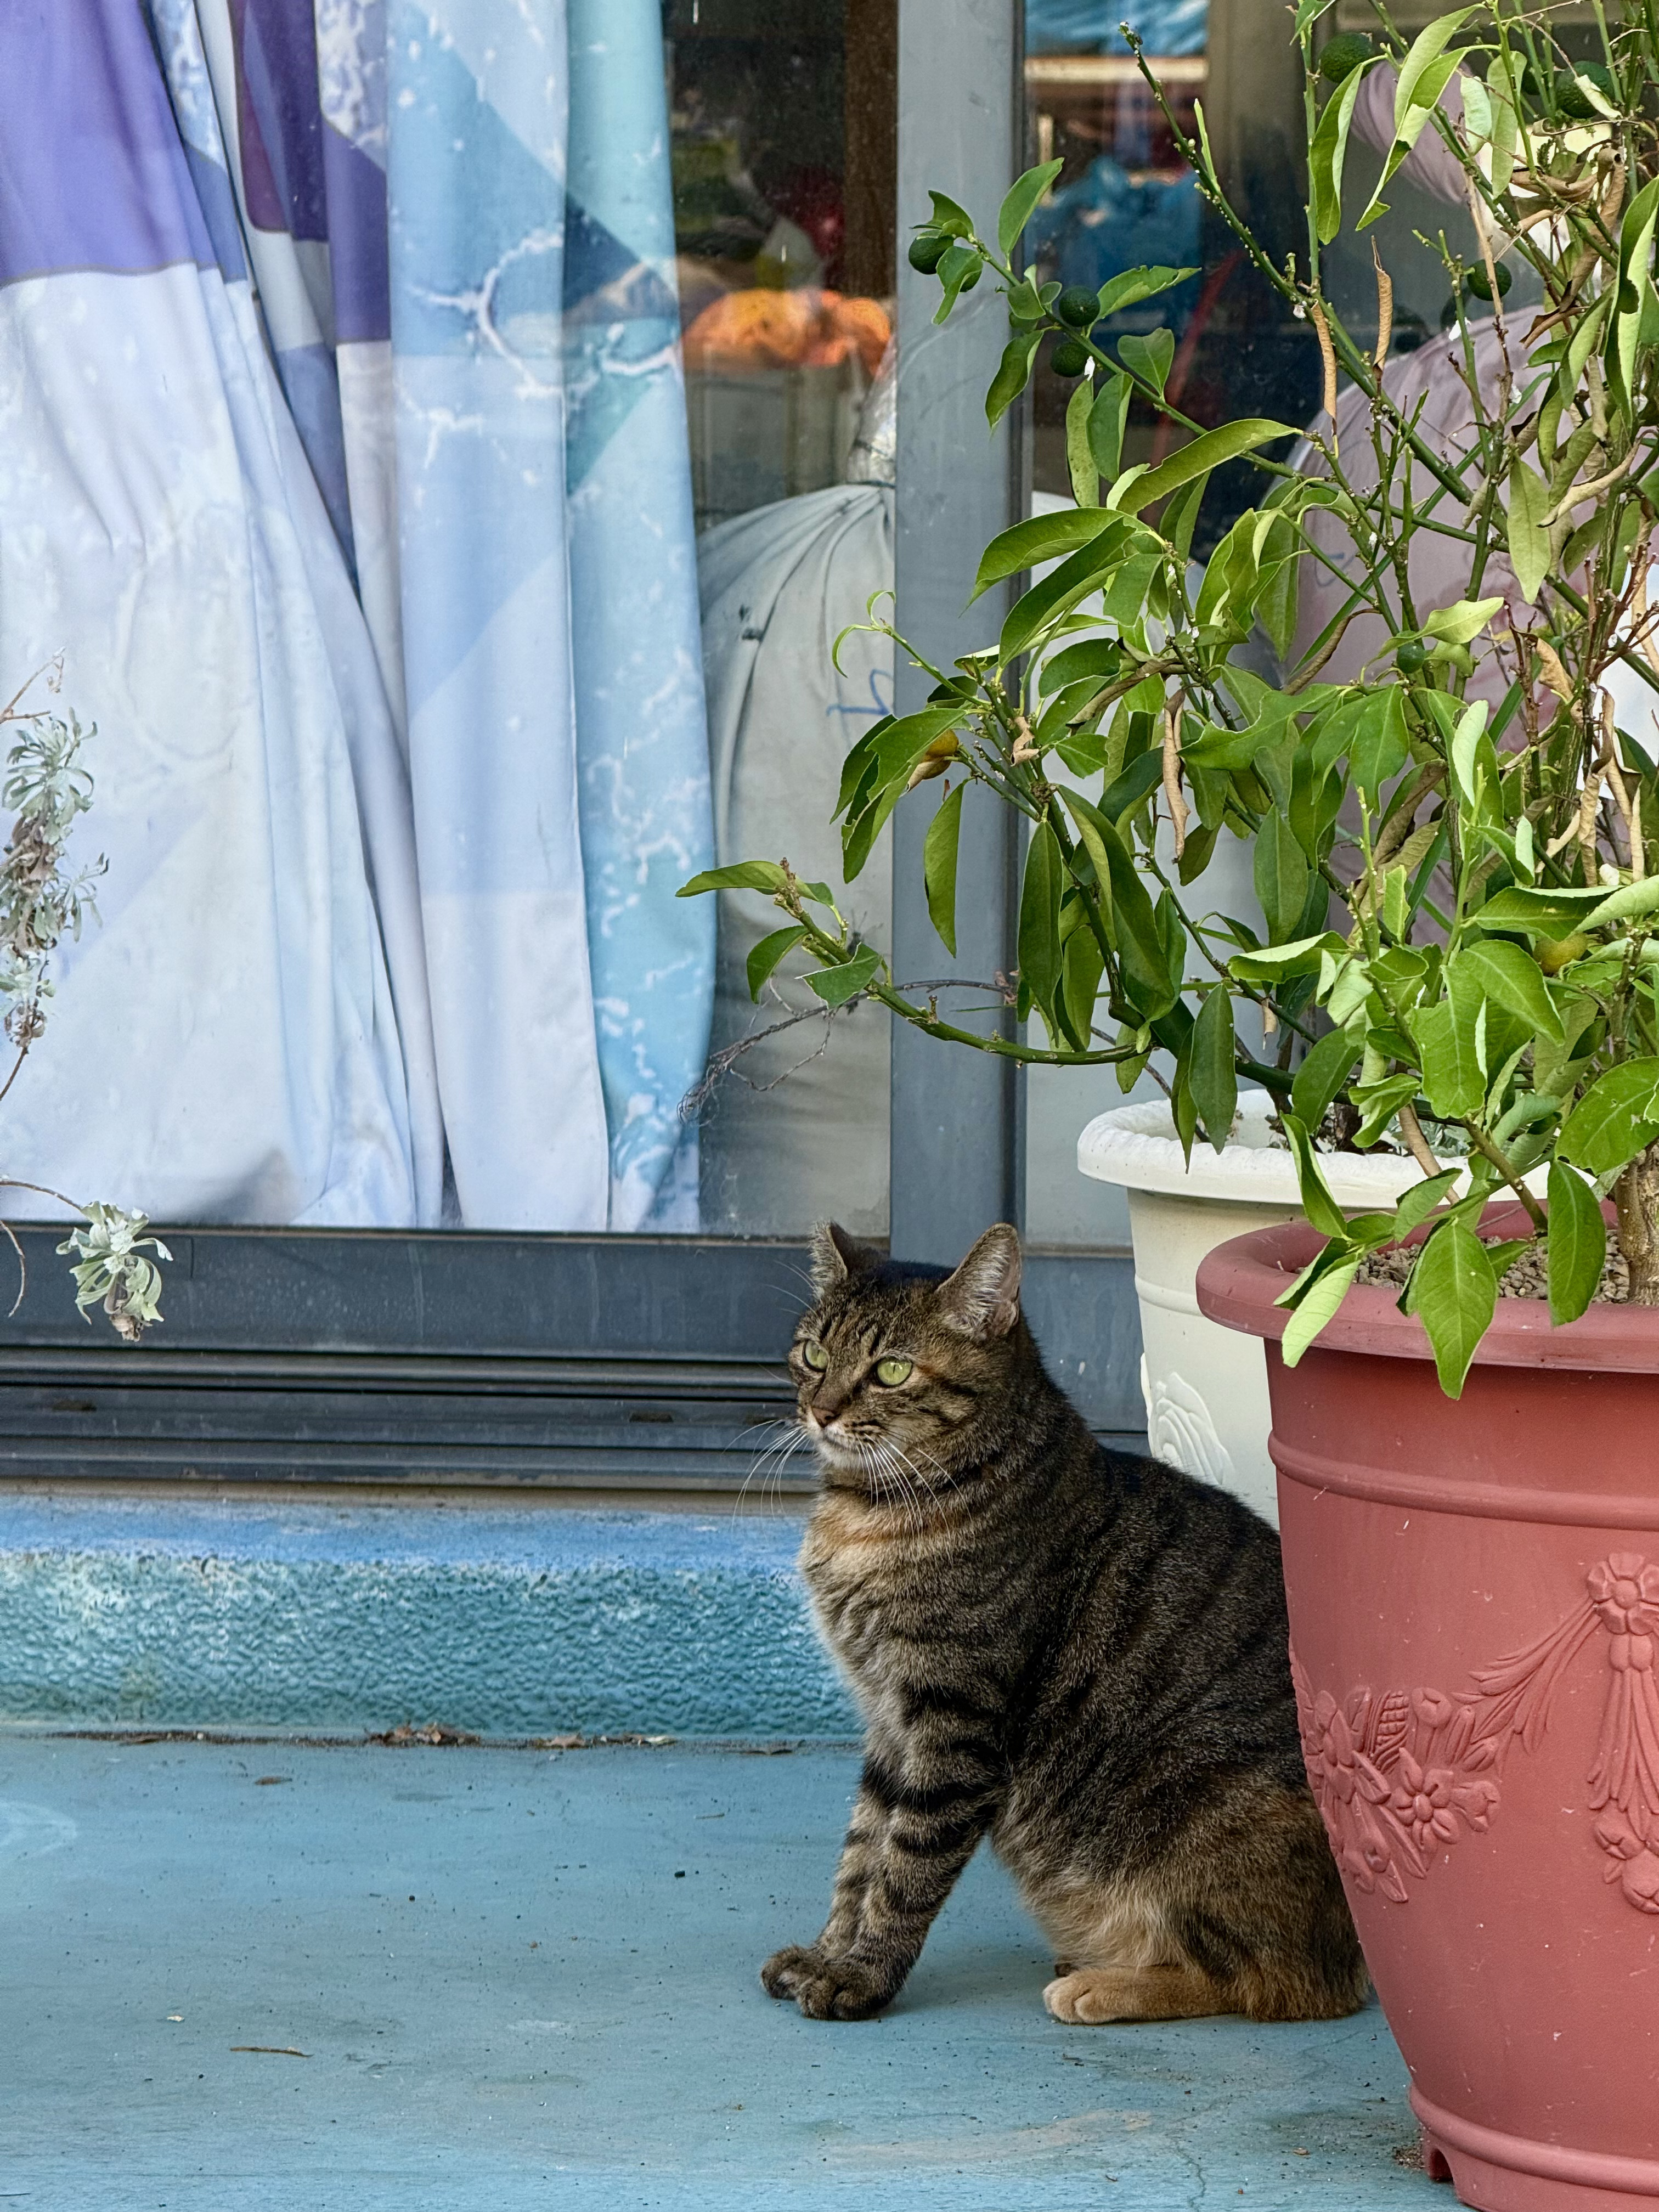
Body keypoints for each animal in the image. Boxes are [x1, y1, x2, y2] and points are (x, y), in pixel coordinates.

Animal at [761, 1220, 1367, 2026]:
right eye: (814, 1355)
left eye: (891, 1370)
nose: (821, 1412)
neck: (869, 1513)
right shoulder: (887, 1721)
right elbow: (860, 1857)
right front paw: (826, 1953)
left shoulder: (954, 1724)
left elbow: (903, 1869)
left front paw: (860, 1975)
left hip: (1191, 1798)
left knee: (1278, 1982)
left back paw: (1104, 1984)